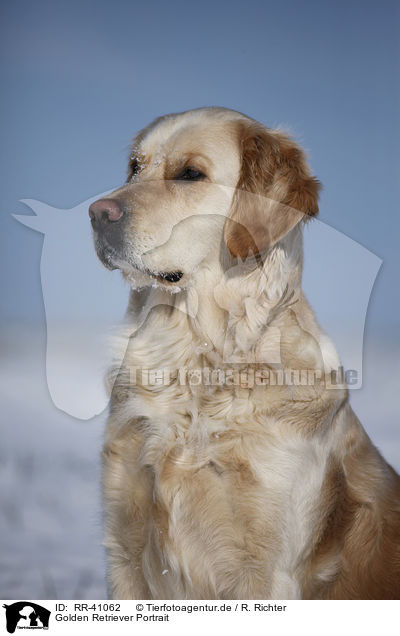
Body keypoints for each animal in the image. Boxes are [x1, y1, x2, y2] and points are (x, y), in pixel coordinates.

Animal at [89, 107, 398, 600]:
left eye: (190, 174)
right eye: (135, 167)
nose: (97, 213)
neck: (197, 361)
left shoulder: (268, 570)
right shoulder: (125, 545)